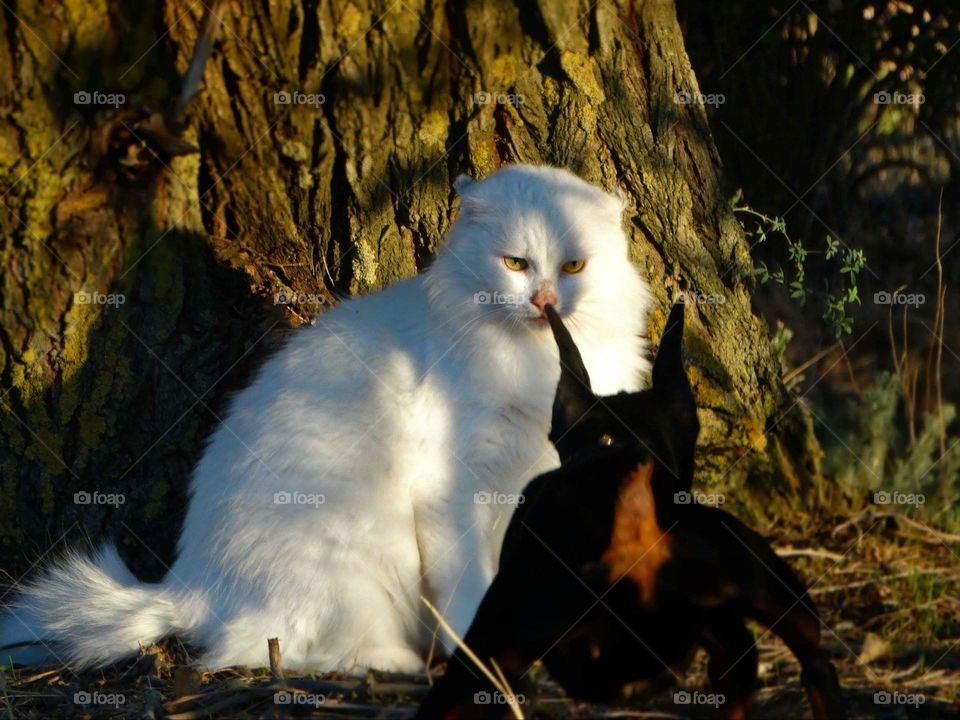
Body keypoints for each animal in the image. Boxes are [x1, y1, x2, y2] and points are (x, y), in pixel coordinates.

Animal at [1, 166, 652, 672]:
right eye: (516, 263)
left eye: (573, 267)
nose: (545, 301)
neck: (539, 363)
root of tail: (188, 586)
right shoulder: (454, 489)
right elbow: (470, 587)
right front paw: (477, 660)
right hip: (349, 564)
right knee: (277, 651)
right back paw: (396, 664)